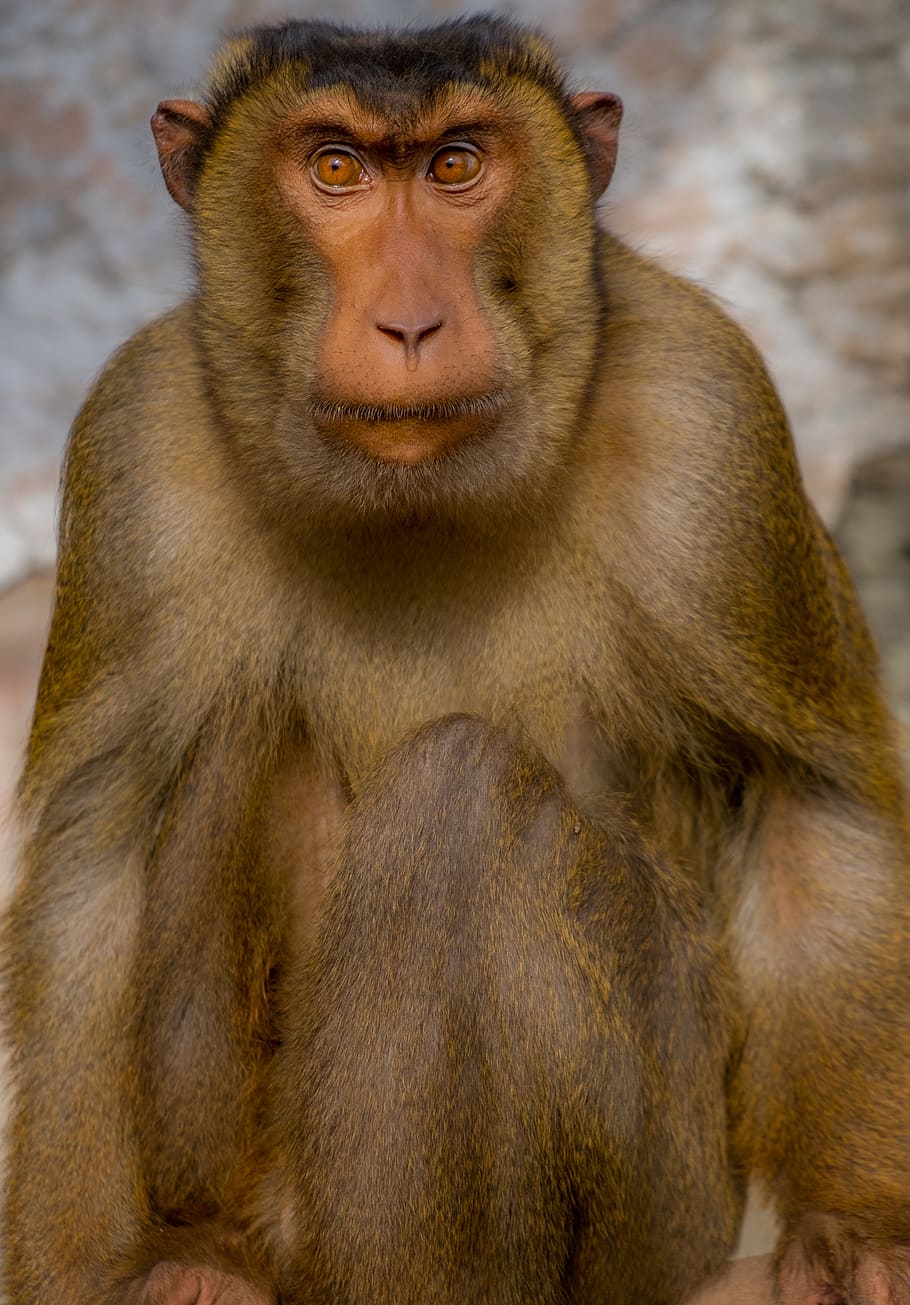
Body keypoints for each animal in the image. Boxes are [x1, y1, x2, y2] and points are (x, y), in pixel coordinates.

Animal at [3, 14, 909, 1305]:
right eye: (335, 168)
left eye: (456, 166)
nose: (411, 326)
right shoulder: (139, 440)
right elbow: (98, 853)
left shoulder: (707, 413)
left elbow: (802, 798)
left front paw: (852, 1220)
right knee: (236, 744)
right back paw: (207, 1255)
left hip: (666, 1206)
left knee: (465, 798)